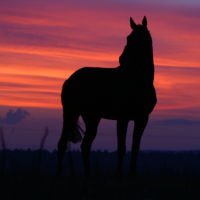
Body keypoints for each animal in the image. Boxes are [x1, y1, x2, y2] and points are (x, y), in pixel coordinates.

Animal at [57, 16, 157, 178]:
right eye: (128, 37)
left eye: (141, 38)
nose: (123, 59)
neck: (140, 82)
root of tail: (69, 79)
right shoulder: (122, 118)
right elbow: (121, 148)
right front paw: (118, 174)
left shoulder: (142, 119)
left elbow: (135, 148)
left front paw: (132, 174)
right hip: (71, 113)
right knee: (62, 144)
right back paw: (59, 175)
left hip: (92, 118)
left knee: (85, 146)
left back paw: (89, 176)